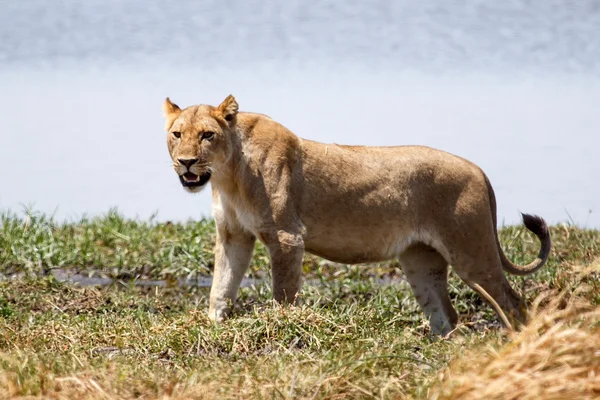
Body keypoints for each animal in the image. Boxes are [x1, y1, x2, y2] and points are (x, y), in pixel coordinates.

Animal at [162, 94, 552, 334]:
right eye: (177, 134)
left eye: (207, 135)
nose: (186, 162)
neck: (227, 175)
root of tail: (478, 170)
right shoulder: (233, 235)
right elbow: (221, 286)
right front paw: (213, 327)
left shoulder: (287, 237)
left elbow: (283, 292)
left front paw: (282, 326)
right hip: (420, 260)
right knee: (445, 315)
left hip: (471, 251)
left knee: (514, 304)